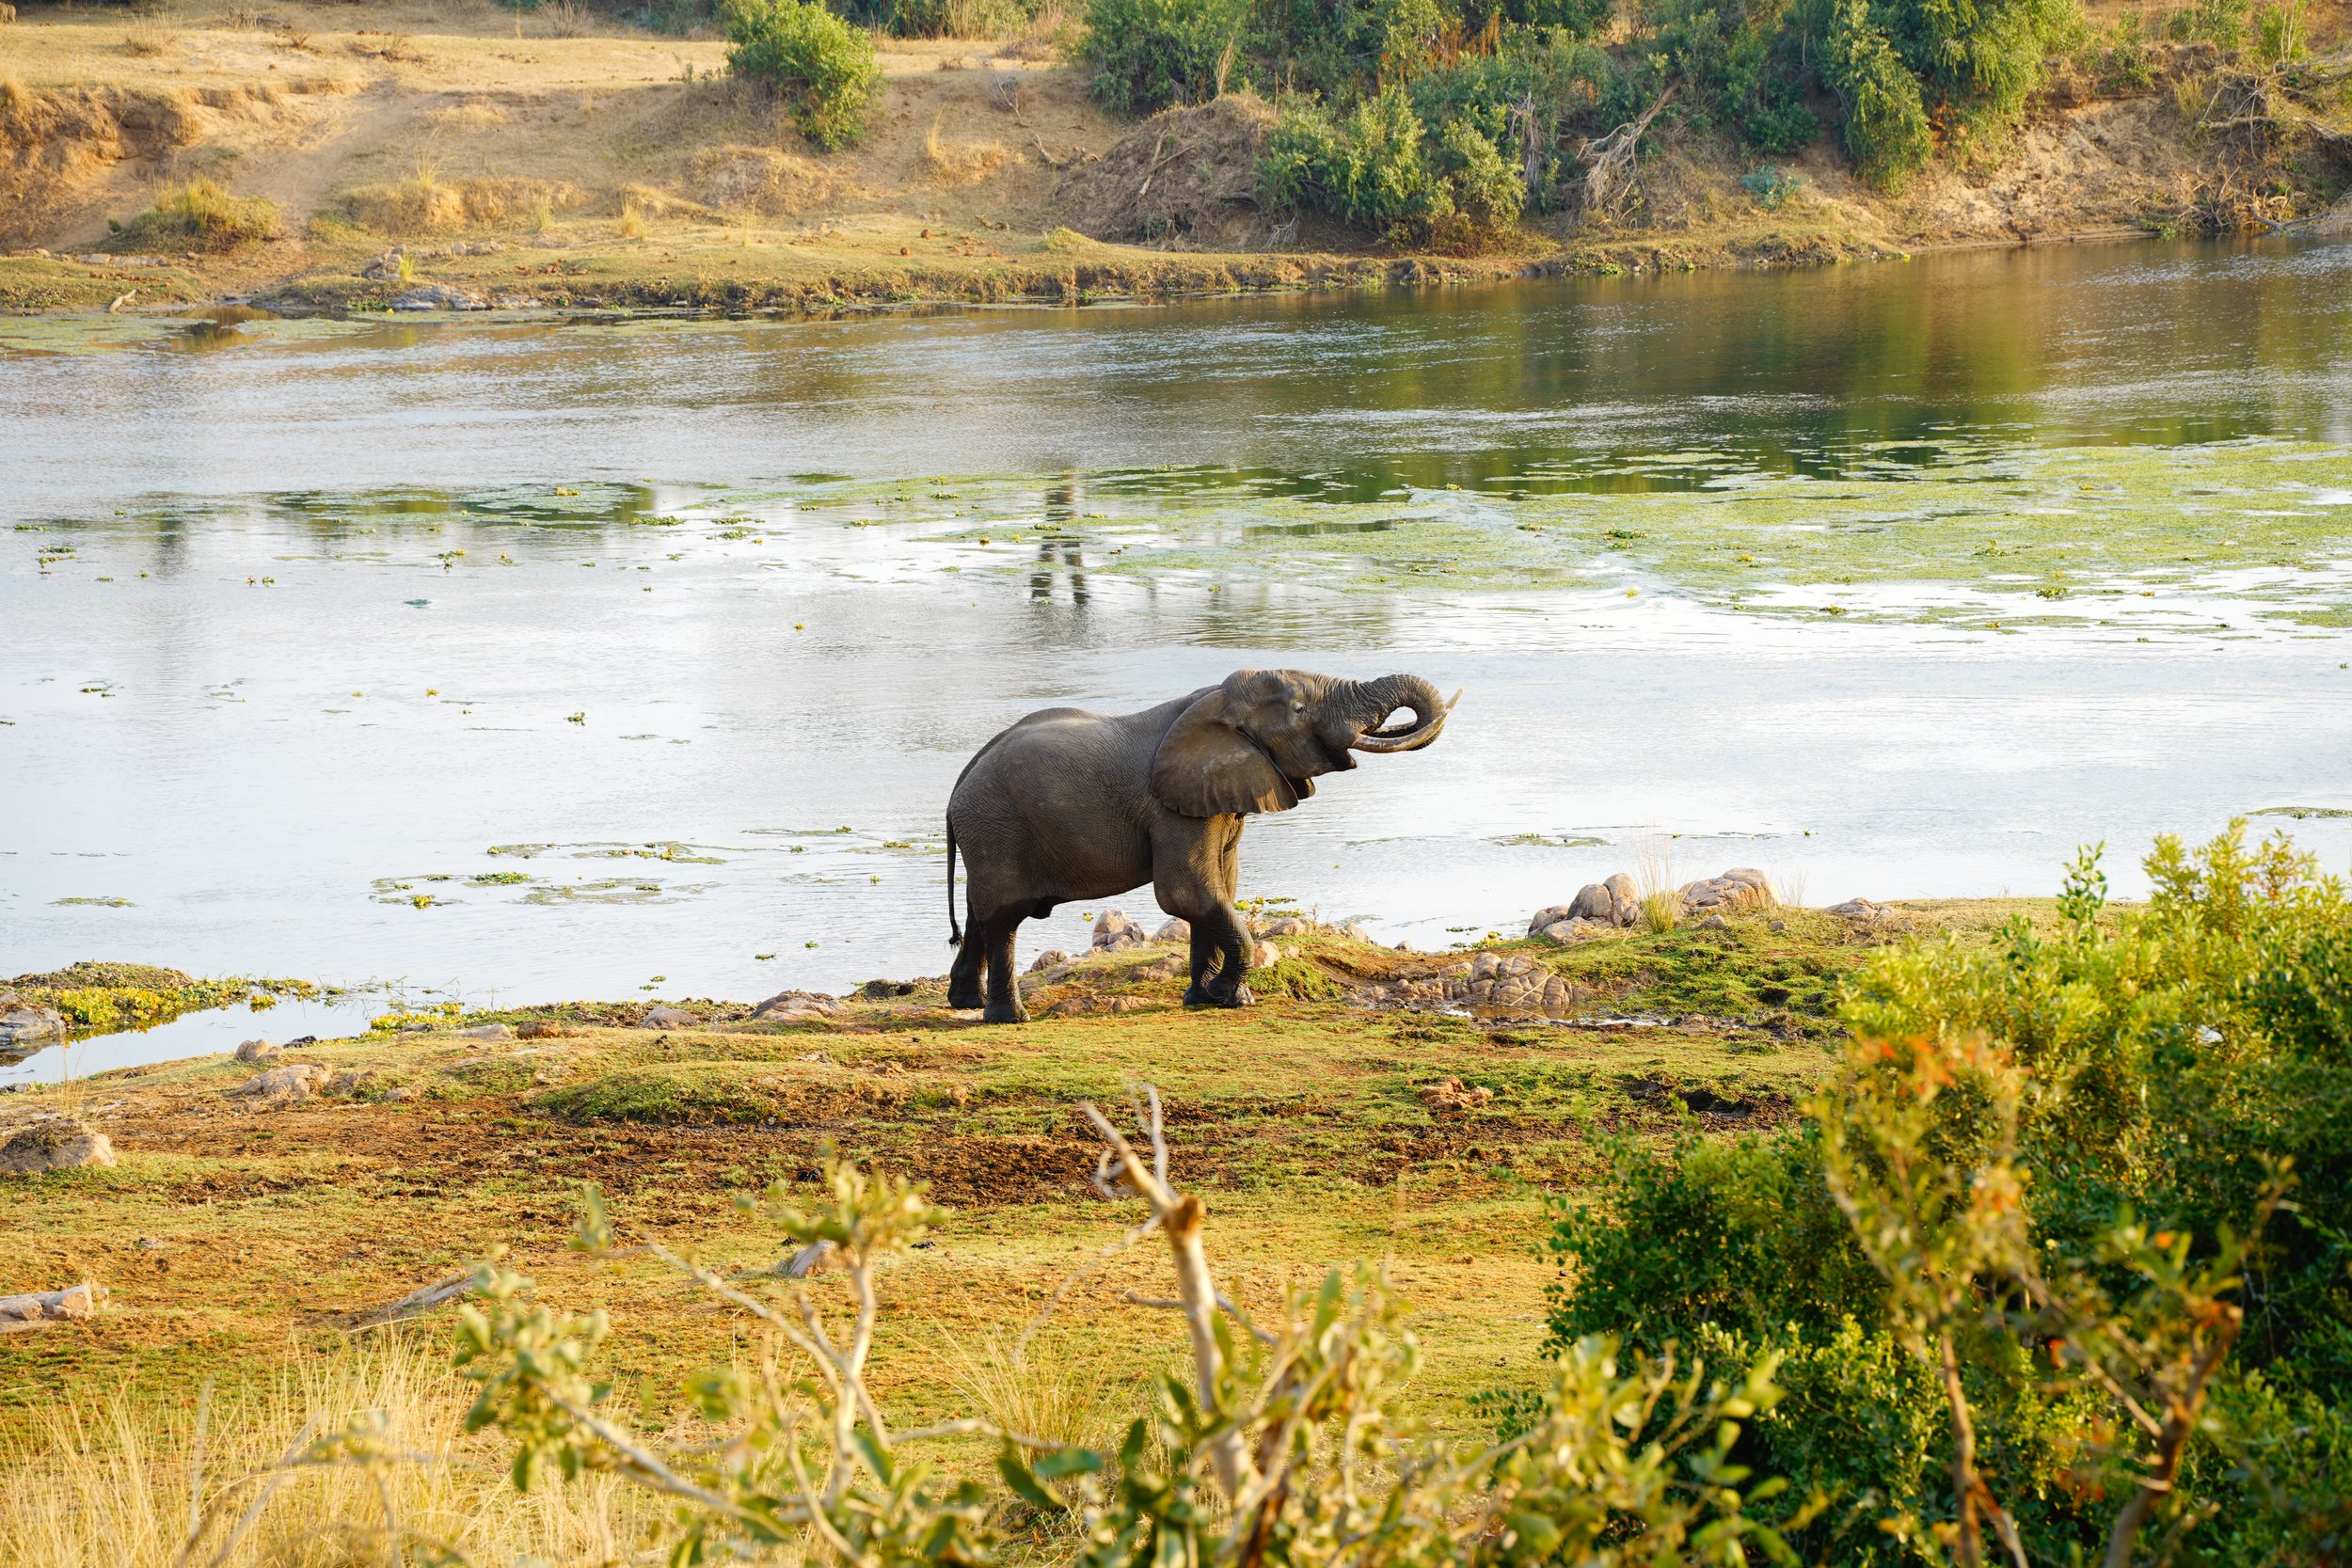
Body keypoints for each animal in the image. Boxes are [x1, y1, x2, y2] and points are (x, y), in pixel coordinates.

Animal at [943, 669, 1457, 1023]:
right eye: (1298, 710)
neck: (1217, 700)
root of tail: (958, 785)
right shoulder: (1170, 806)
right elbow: (1187, 893)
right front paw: (1230, 996)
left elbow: (1220, 888)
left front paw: (1208, 999)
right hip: (997, 826)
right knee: (1004, 915)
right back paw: (1009, 1018)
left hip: (988, 834)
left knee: (979, 911)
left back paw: (965, 1001)